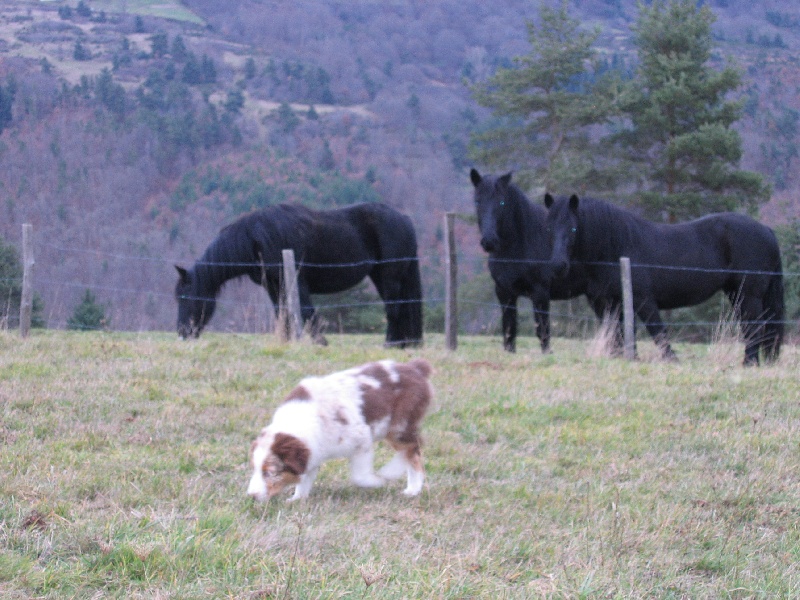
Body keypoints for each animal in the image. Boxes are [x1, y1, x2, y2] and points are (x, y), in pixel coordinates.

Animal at [176, 203, 424, 346]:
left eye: (185, 298)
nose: (182, 333)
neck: (257, 237)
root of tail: (404, 219)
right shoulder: (275, 285)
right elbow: (282, 312)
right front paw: (287, 341)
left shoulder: (297, 281)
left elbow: (305, 312)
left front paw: (320, 342)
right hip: (382, 277)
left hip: (390, 277)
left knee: (394, 308)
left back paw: (391, 343)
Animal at [247, 356, 434, 502]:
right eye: (254, 469)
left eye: (270, 472)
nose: (252, 496)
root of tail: (415, 368)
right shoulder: (313, 449)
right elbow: (306, 477)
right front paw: (297, 498)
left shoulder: (361, 439)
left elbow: (359, 476)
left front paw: (376, 482)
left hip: (399, 425)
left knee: (412, 449)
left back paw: (403, 482)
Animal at [466, 169, 596, 354]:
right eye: (477, 201)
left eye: (502, 202)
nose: (489, 241)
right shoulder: (504, 293)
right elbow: (509, 331)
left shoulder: (540, 293)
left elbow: (543, 332)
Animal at [544, 193, 780, 366]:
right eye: (549, 228)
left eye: (573, 228)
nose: (557, 265)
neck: (618, 246)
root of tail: (766, 230)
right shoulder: (613, 302)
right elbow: (619, 333)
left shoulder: (643, 300)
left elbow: (656, 330)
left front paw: (671, 359)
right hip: (736, 293)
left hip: (749, 295)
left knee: (755, 327)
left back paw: (749, 363)